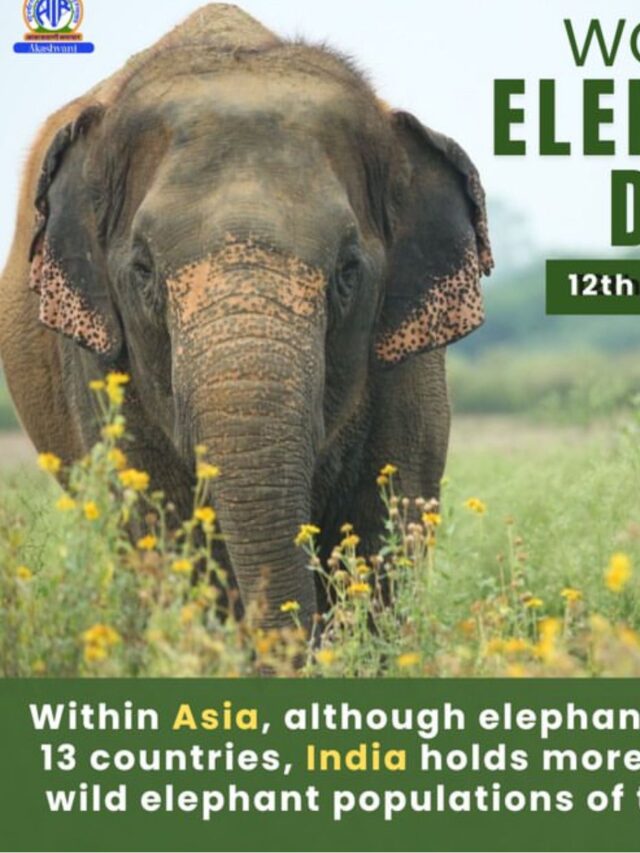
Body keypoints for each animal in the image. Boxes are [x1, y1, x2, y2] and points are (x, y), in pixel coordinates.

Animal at [0, 4, 492, 630]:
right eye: (143, 270)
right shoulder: (98, 359)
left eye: (348, 270)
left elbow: (391, 511)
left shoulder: (409, 360)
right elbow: (155, 519)